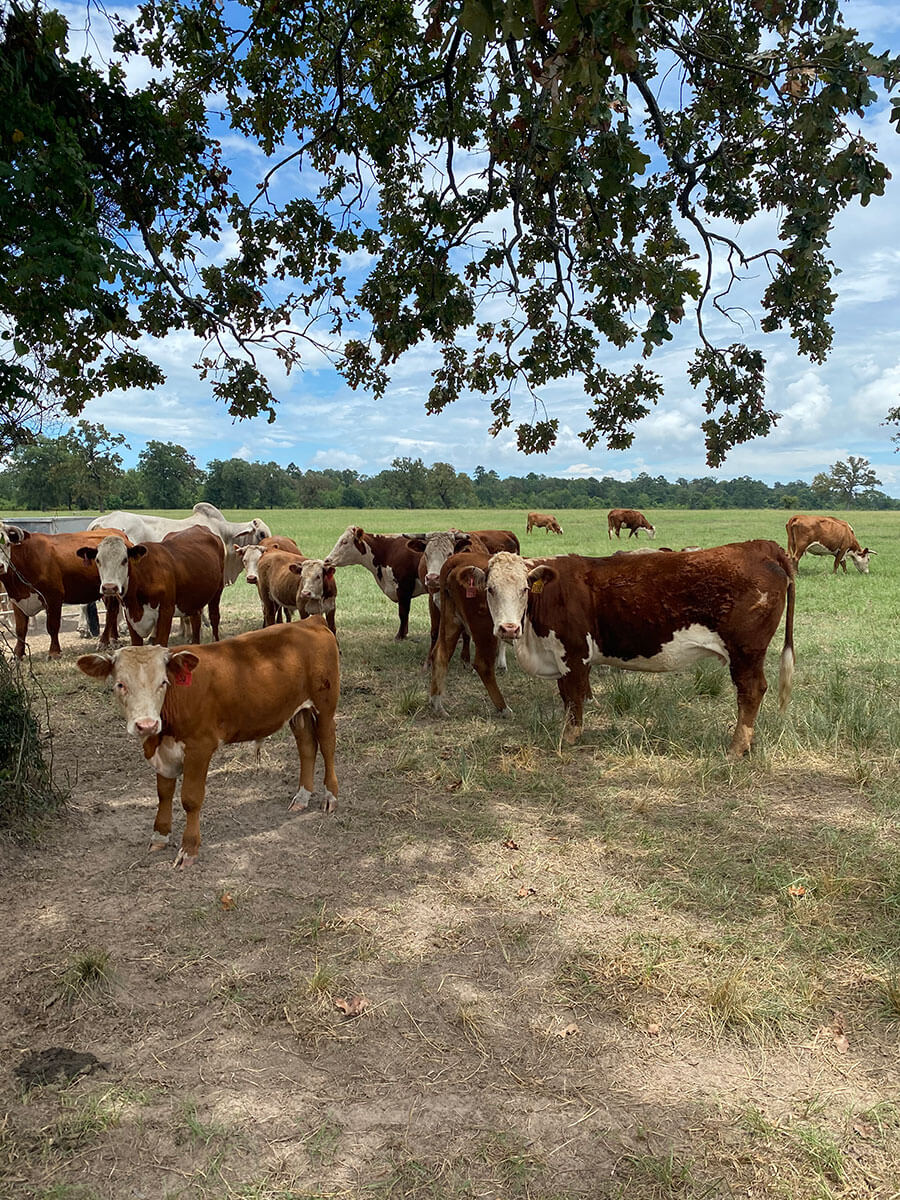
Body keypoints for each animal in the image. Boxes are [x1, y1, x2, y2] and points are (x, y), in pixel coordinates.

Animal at [0, 526, 131, 658]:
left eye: (7, 543)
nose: (0, 566)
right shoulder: (18, 599)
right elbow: (20, 630)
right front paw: (17, 655)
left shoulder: (53, 597)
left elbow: (52, 626)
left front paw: (54, 652)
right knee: (112, 610)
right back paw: (113, 639)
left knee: (111, 612)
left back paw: (104, 641)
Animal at [76, 619, 340, 867]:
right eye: (120, 684)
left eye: (163, 682)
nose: (147, 725)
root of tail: (309, 621)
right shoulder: (163, 752)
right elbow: (164, 793)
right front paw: (160, 836)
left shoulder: (199, 748)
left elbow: (190, 799)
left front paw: (188, 849)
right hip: (298, 711)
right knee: (307, 747)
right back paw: (302, 797)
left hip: (325, 706)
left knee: (327, 745)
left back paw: (330, 797)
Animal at [77, 526, 225, 646]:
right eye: (98, 560)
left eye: (124, 560)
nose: (109, 587)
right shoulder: (130, 615)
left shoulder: (166, 612)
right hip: (194, 600)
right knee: (196, 620)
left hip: (218, 590)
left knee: (214, 617)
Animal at [469, 542, 796, 756]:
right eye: (490, 589)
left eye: (524, 589)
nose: (508, 628)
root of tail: (759, 547)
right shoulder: (559, 655)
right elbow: (565, 695)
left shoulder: (574, 653)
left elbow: (574, 696)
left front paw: (570, 736)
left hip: (746, 652)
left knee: (751, 691)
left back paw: (736, 747)